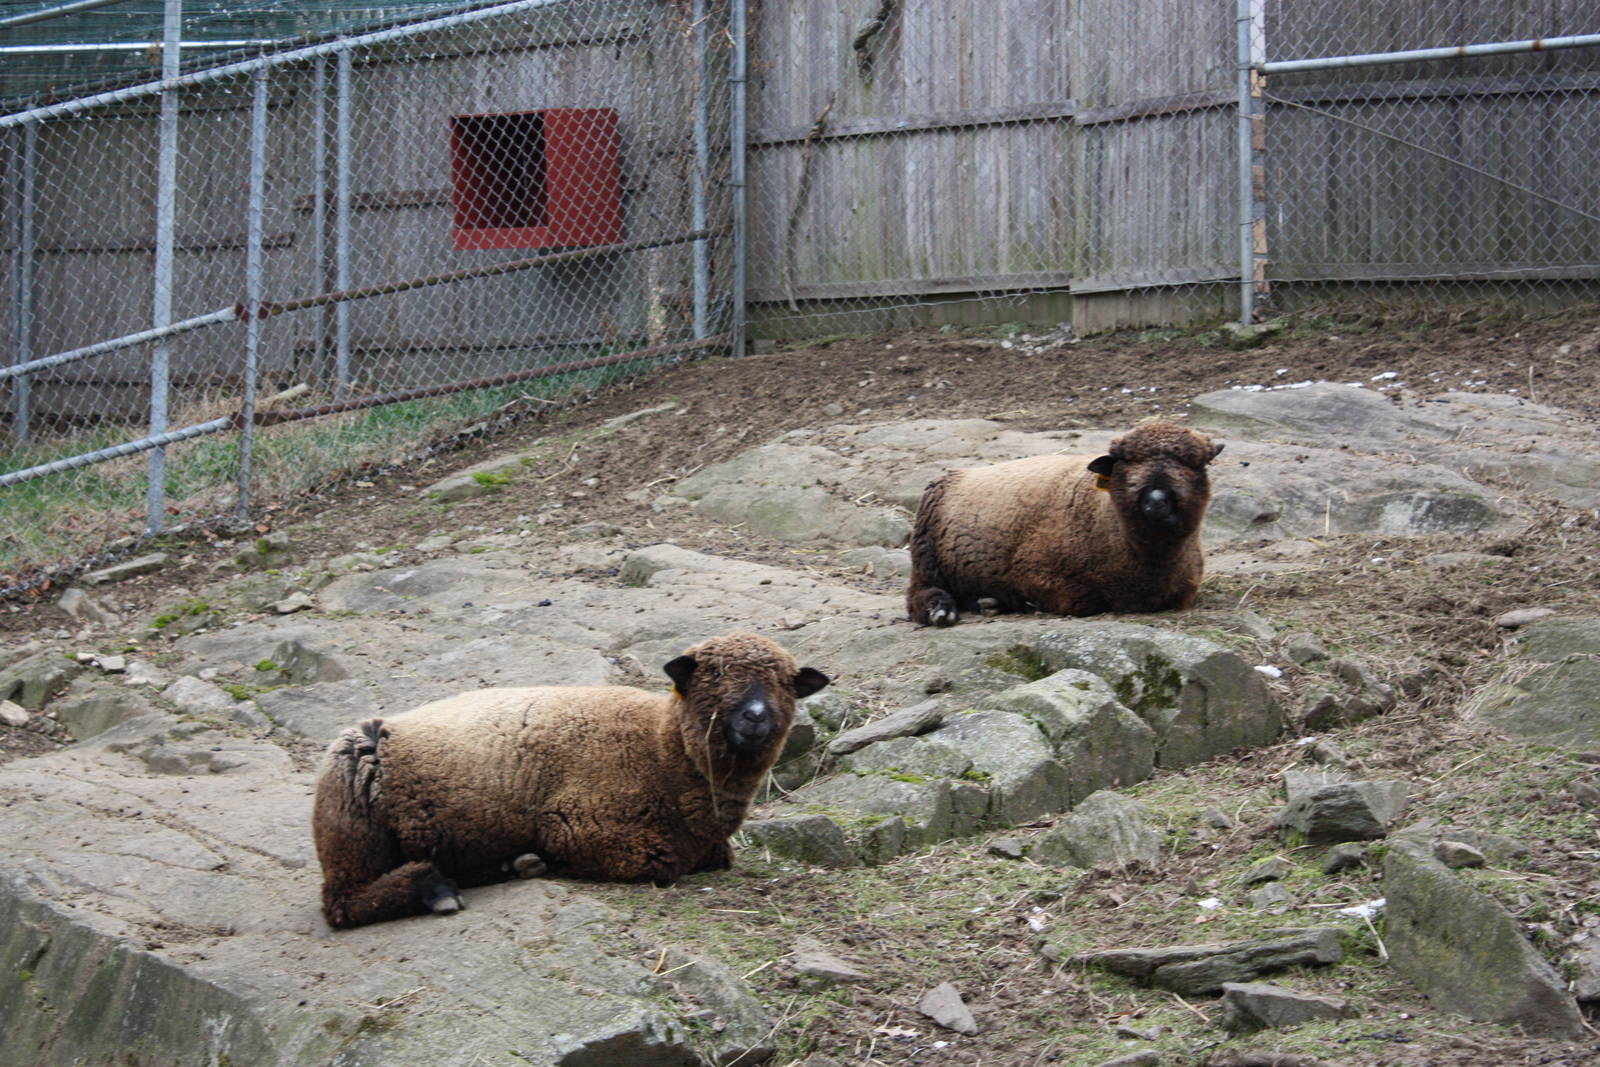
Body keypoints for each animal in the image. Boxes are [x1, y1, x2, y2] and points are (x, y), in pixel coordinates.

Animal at [312, 632, 828, 929]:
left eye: (785, 682)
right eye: (717, 672)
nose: (756, 717)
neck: (664, 751)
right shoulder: (581, 825)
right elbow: (663, 863)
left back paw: (509, 866)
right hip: (350, 822)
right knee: (341, 903)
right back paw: (435, 891)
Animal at [906, 421, 1223, 626]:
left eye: (1193, 463)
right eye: (1127, 463)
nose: (1156, 501)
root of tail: (955, 473)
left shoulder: (1186, 590)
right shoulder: (1035, 574)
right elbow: (1088, 601)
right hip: (926, 555)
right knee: (919, 594)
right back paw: (942, 611)